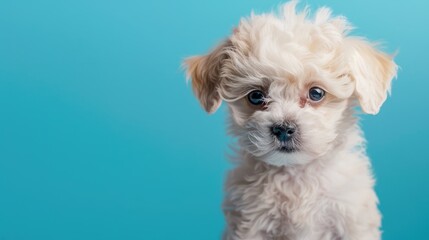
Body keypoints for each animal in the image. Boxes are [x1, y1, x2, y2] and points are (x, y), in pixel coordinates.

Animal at [182, 0, 396, 239]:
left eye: (316, 93)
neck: (296, 174)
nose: (283, 128)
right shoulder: (249, 224)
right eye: (255, 96)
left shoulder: (351, 218)